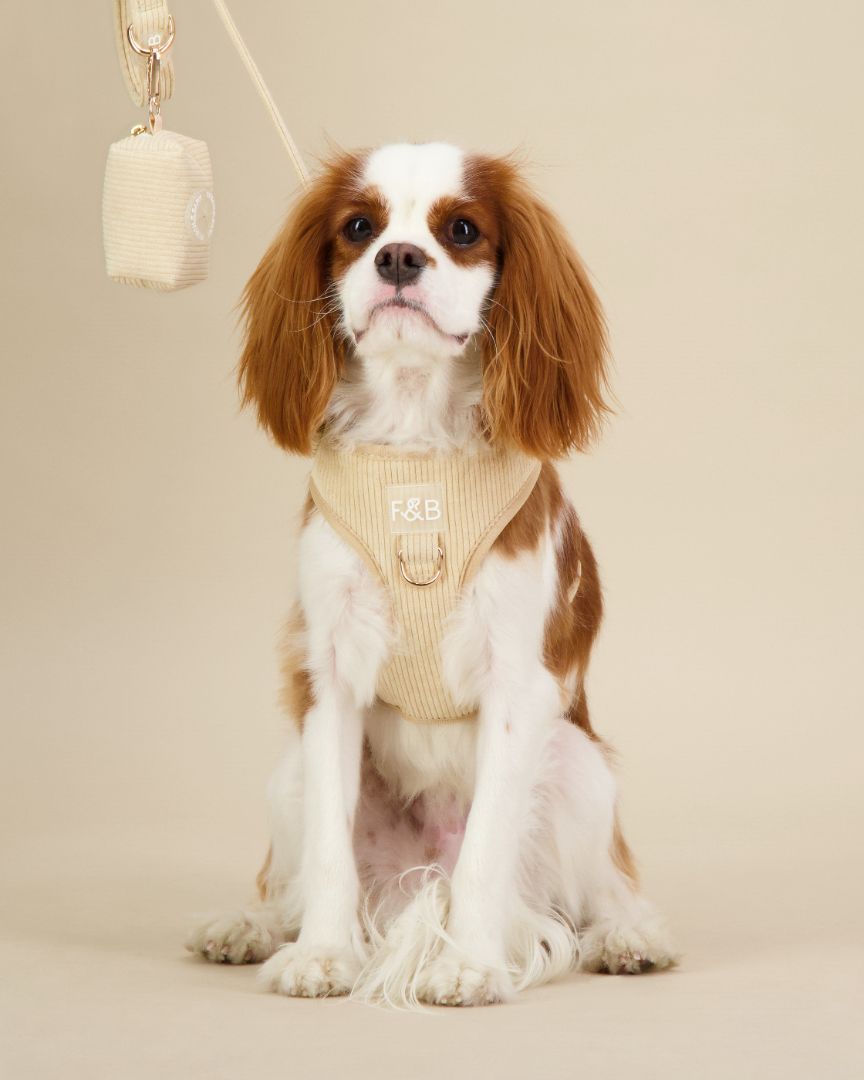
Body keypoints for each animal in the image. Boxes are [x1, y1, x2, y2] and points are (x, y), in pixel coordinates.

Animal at [185, 141, 678, 1002]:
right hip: (290, 771)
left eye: (462, 230)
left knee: (595, 891)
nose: (399, 257)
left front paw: (470, 965)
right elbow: (328, 851)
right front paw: (323, 954)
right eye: (358, 227)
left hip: (576, 767)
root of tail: (422, 881)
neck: (415, 451)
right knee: (292, 878)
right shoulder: (329, 677)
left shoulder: (519, 685)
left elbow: (486, 850)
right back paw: (253, 925)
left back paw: (626, 936)